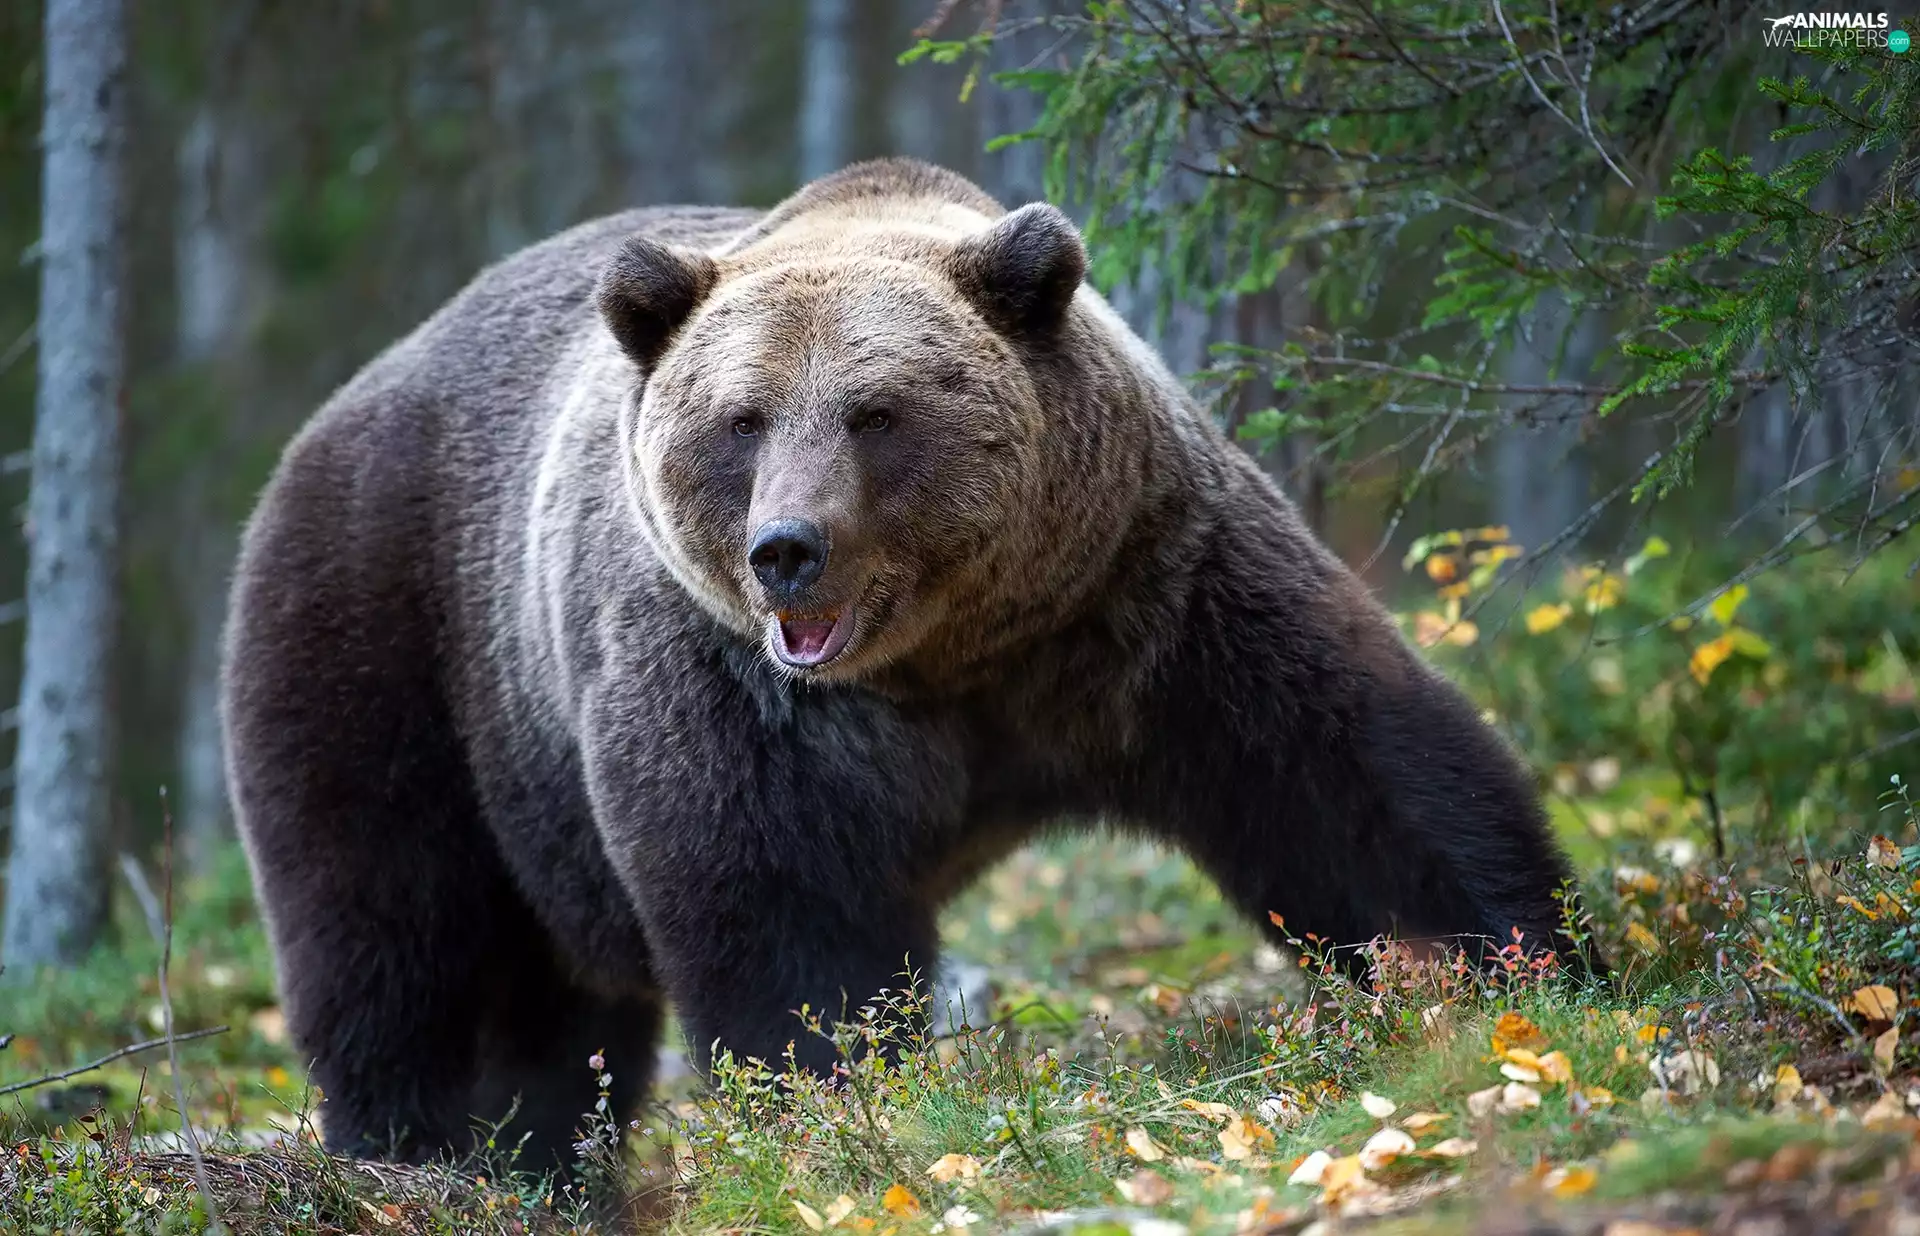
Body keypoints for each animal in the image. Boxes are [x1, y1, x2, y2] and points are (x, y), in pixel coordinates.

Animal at [221, 158, 1591, 1169]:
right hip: (398, 636)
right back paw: (423, 1152)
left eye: (875, 412)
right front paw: (831, 1103)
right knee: (398, 930)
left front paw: (1527, 965)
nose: (787, 549)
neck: (955, 656)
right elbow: (781, 904)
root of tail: (344, 404)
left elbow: (1342, 776)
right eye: (741, 420)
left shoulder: (1145, 592)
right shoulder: (739, 685)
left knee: (543, 1012)